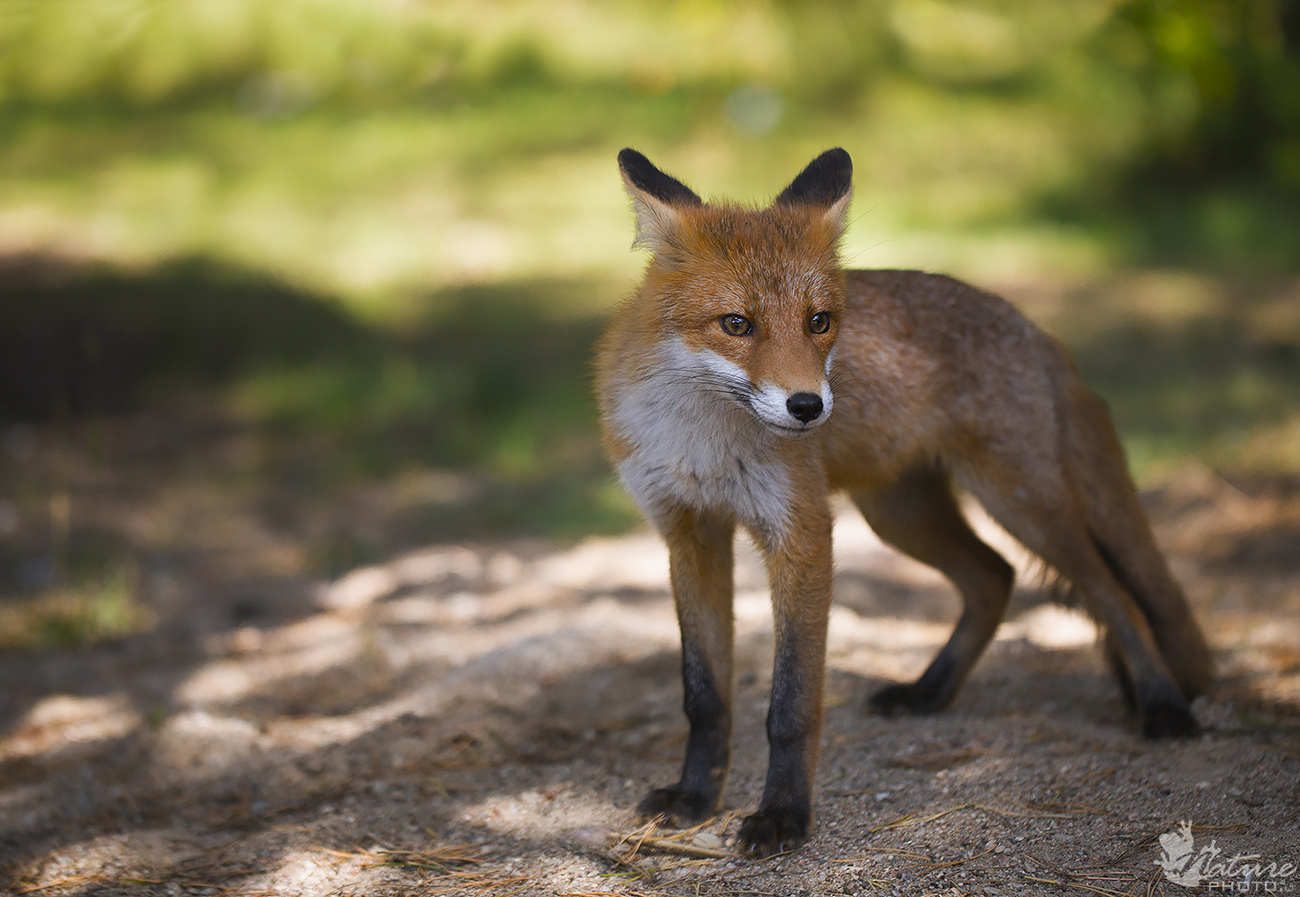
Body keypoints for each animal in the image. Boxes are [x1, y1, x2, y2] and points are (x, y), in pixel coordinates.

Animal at [595, 146, 1211, 852]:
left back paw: (1164, 706)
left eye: (819, 322)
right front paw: (696, 797)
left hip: (1022, 504)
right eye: (737, 325)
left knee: (1112, 594)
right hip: (902, 516)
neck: (701, 444)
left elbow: (791, 705)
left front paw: (783, 814)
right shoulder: (689, 534)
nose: (808, 407)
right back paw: (928, 693)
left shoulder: (801, 533)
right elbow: (704, 696)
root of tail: (1035, 330)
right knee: (994, 576)